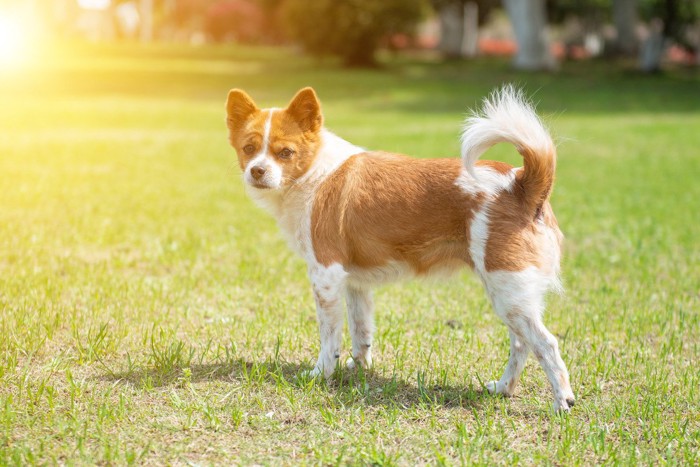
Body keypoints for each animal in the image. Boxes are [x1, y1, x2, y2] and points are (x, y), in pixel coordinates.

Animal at [224, 86, 576, 412]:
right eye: (248, 148)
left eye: (285, 152)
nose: (257, 170)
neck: (314, 172)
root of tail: (521, 185)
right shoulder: (354, 282)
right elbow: (361, 331)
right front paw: (358, 368)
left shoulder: (325, 276)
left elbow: (329, 337)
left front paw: (322, 373)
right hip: (510, 295)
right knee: (521, 345)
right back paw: (504, 389)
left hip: (508, 292)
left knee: (546, 345)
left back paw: (562, 402)